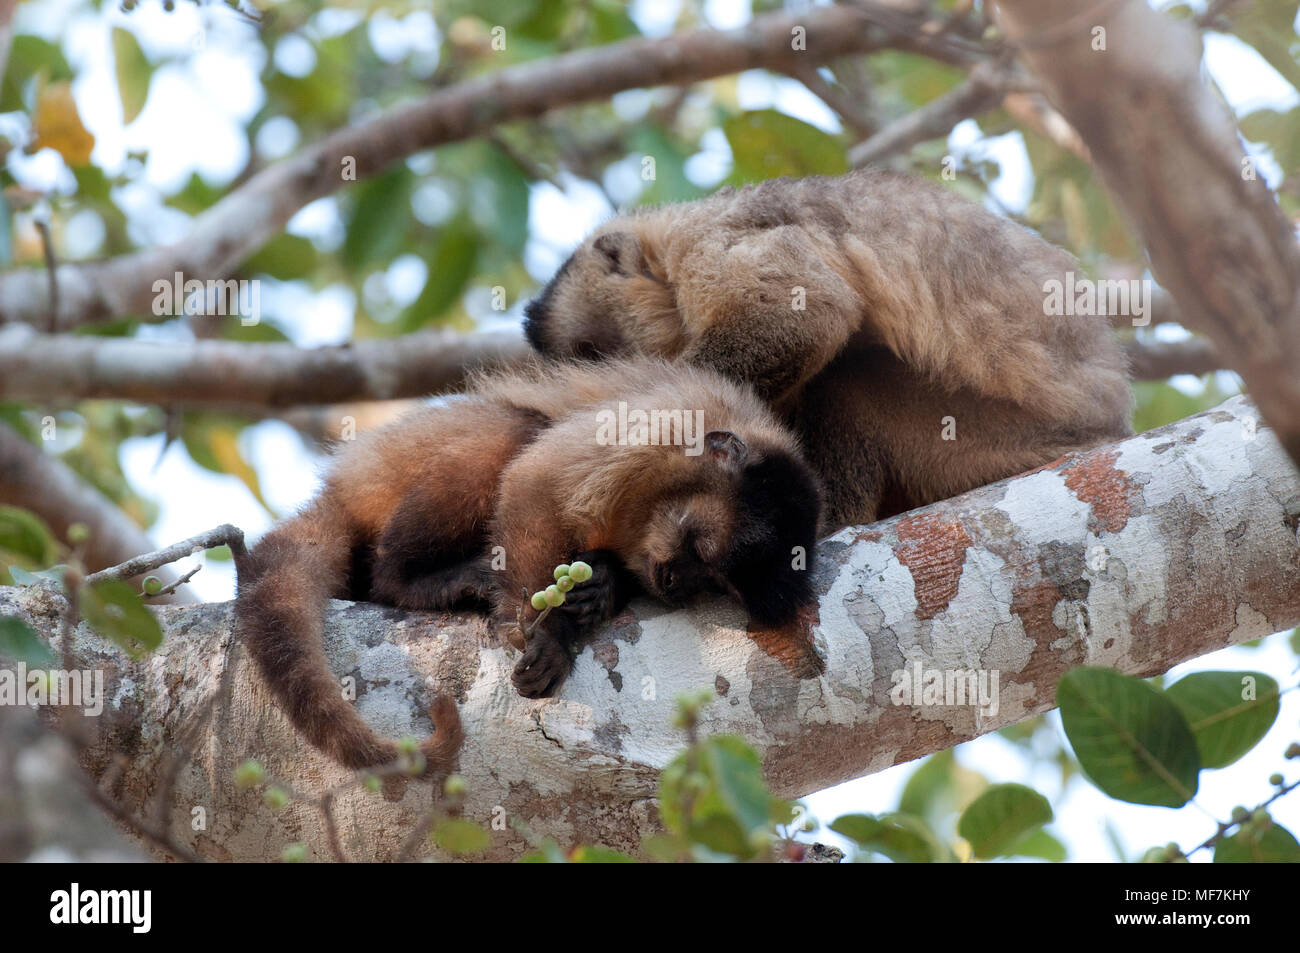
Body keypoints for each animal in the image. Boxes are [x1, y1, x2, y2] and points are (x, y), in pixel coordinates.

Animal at [232, 356, 816, 774]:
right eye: (701, 550)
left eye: (713, 581)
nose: (675, 581)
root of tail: (341, 482)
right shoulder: (659, 428)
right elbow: (537, 486)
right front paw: (551, 637)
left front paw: (600, 589)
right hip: (387, 466)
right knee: (515, 428)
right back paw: (410, 581)